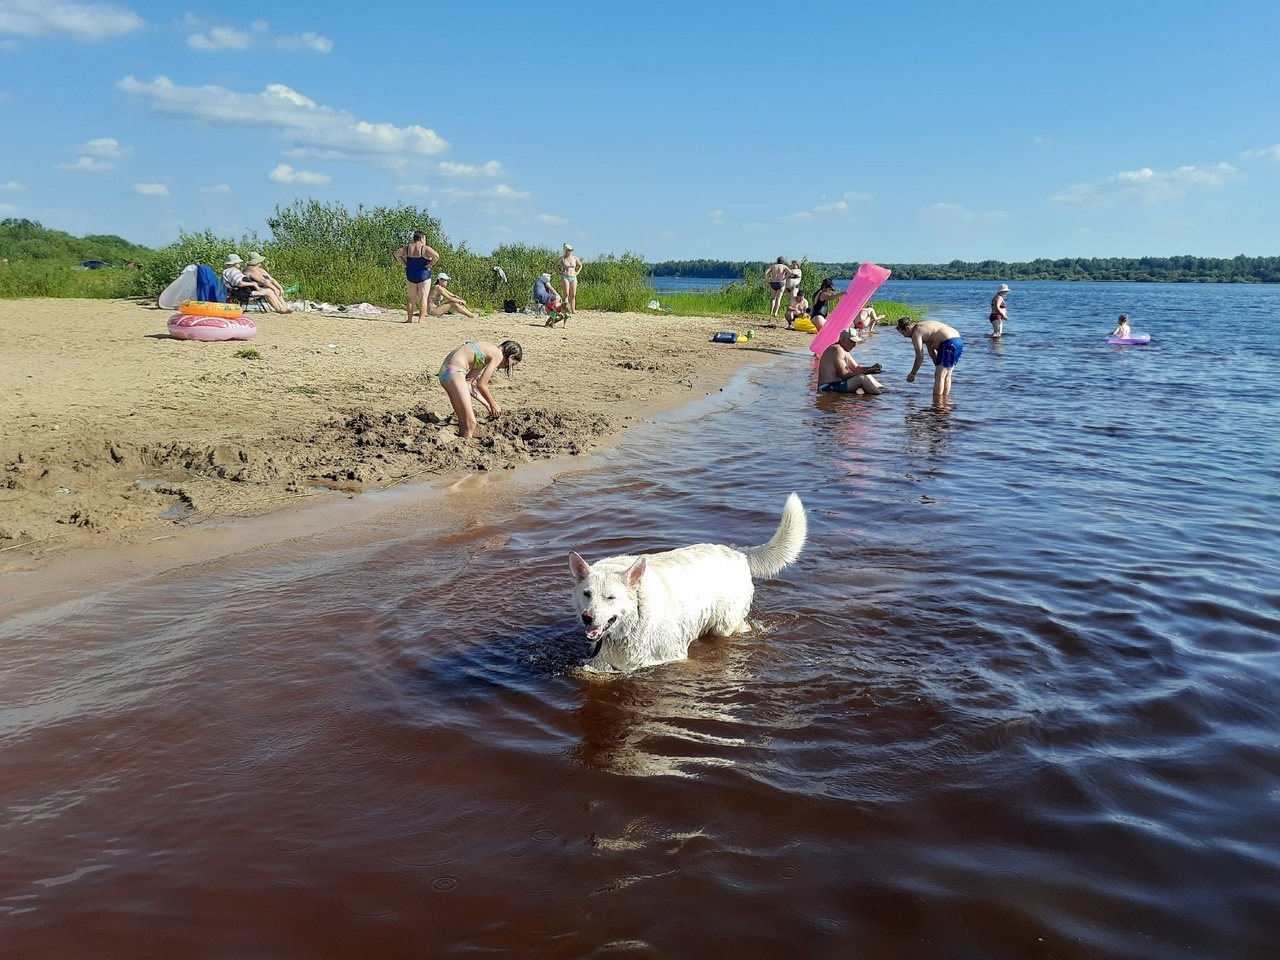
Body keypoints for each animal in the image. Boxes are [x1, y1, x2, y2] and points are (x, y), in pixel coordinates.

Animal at [565, 499, 803, 670]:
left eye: (611, 597)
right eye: (587, 594)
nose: (587, 617)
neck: (636, 617)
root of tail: (738, 552)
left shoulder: (674, 657)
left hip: (725, 626)